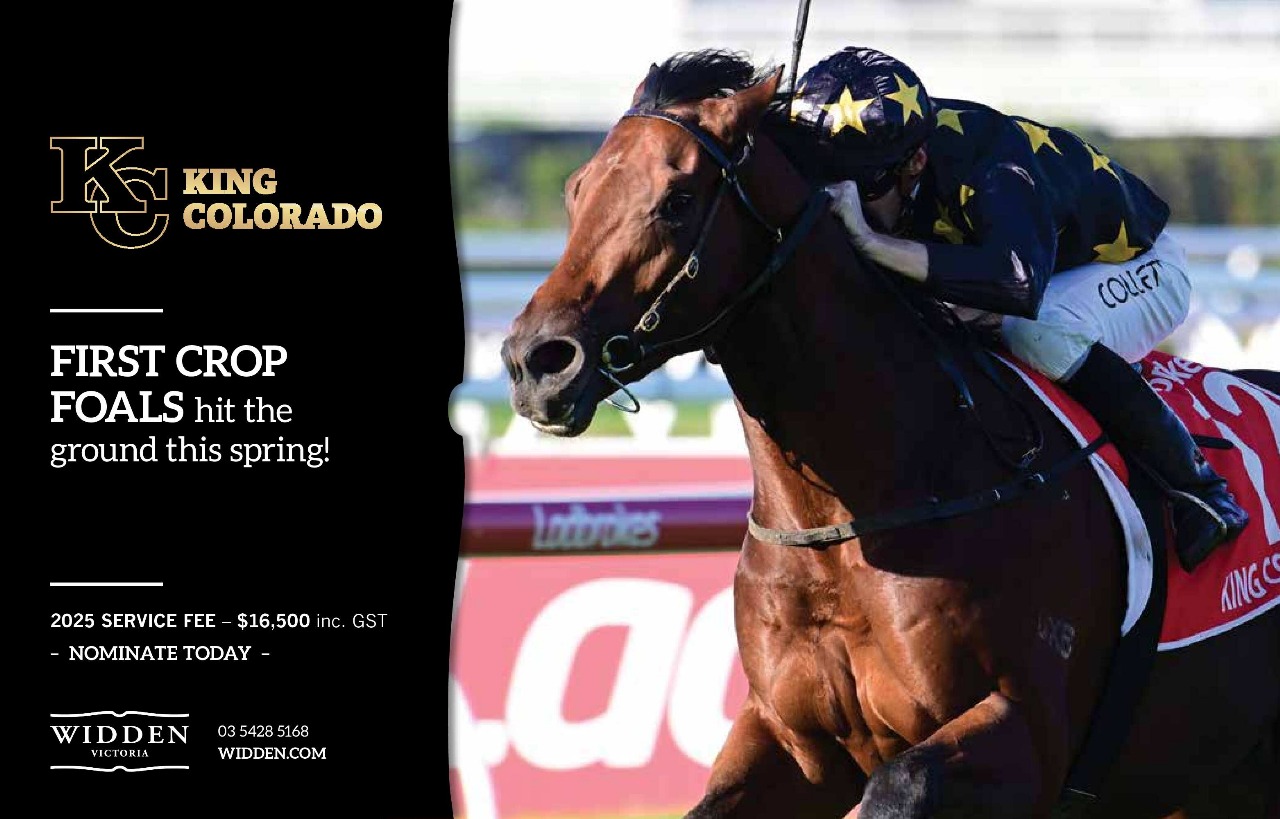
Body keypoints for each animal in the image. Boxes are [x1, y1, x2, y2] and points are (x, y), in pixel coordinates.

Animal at [498, 50, 1280, 818]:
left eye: (676, 200)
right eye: (575, 192)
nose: (536, 361)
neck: (852, 519)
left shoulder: (1023, 735)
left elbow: (901, 785)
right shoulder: (791, 743)